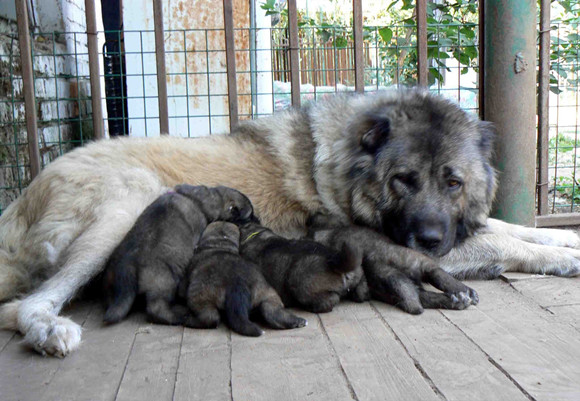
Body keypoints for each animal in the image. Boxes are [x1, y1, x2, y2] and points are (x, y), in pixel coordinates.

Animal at [101, 184, 254, 324]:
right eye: (249, 216)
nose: (257, 220)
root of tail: (128, 264)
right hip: (164, 282)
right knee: (156, 308)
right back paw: (176, 317)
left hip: (111, 283)